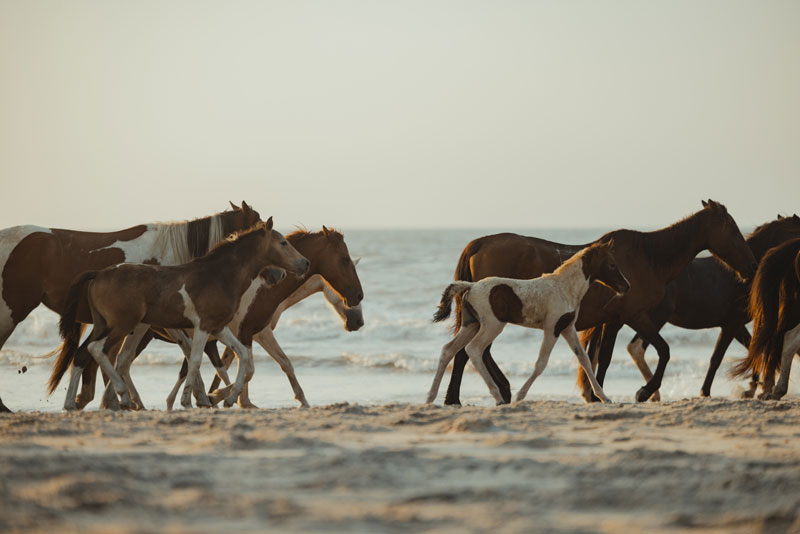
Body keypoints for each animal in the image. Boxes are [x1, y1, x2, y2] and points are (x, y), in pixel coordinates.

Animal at [0, 201, 262, 412]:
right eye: (259, 224)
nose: (270, 274)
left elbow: (187, 352)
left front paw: (203, 396)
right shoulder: (147, 322)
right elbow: (126, 358)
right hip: (11, 312)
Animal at [55, 218, 310, 410]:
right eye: (283, 243)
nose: (304, 263)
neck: (219, 275)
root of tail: (98, 274)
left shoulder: (218, 327)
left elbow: (242, 357)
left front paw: (227, 398)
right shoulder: (203, 326)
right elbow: (195, 360)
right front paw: (192, 400)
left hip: (103, 325)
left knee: (81, 354)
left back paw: (70, 403)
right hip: (121, 325)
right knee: (97, 350)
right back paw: (122, 395)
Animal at [427, 241, 630, 404]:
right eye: (612, 264)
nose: (626, 286)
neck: (564, 287)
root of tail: (471, 286)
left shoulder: (567, 328)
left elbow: (584, 359)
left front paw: (604, 397)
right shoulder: (552, 328)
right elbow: (541, 363)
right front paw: (520, 396)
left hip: (471, 324)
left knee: (448, 350)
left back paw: (430, 397)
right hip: (492, 325)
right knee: (474, 350)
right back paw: (499, 397)